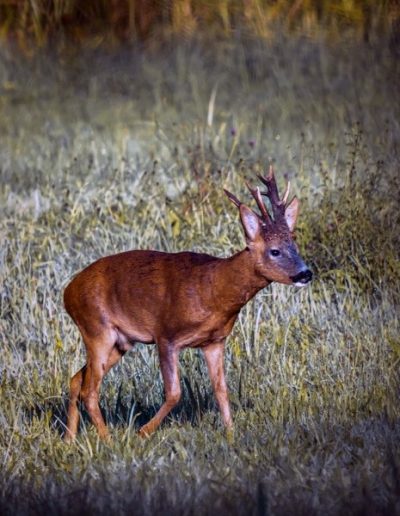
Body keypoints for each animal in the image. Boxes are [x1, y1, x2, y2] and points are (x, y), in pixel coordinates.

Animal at [62, 166, 312, 444]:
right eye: (275, 251)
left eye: (295, 245)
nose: (305, 274)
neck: (214, 292)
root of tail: (67, 292)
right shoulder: (166, 335)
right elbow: (174, 393)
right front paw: (143, 431)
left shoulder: (214, 341)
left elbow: (221, 389)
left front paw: (231, 434)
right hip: (97, 328)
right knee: (89, 390)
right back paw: (107, 440)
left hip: (120, 341)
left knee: (76, 380)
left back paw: (70, 439)